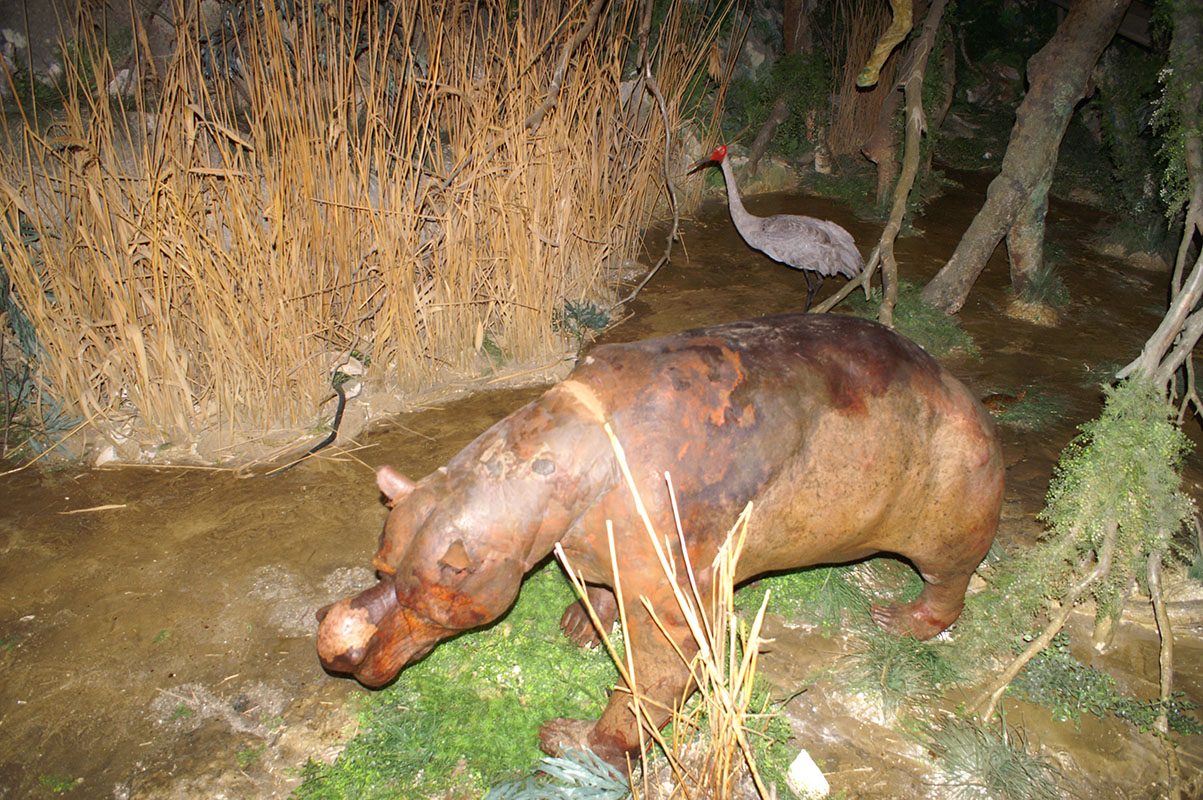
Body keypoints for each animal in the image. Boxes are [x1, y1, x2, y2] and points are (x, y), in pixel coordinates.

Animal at [316, 313, 1003, 767]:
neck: (554, 469)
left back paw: (898, 620)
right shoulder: (599, 548)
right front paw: (581, 623)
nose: (334, 644)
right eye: (380, 566)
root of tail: (964, 390)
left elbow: (654, 679)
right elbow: (601, 591)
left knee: (950, 582)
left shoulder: (673, 589)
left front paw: (575, 742)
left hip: (949, 518)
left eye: (428, 595)